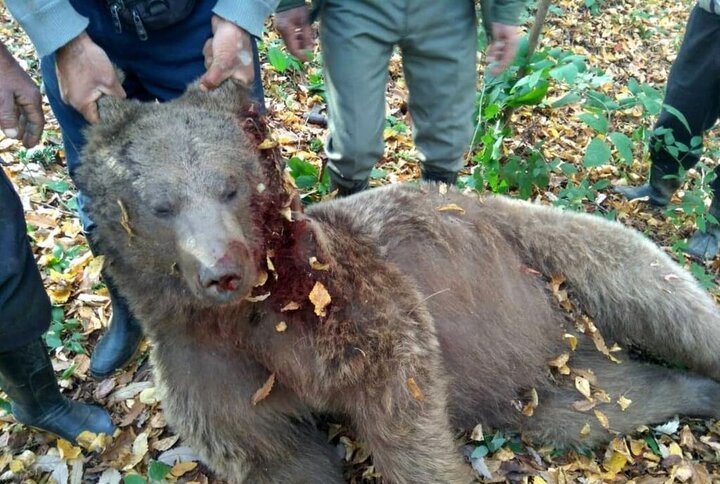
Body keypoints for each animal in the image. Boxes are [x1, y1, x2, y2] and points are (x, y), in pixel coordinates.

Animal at [73, 81, 720, 482]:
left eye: (230, 185)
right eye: (161, 206)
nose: (221, 271)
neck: (250, 312)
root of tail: (568, 334)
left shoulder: (338, 300)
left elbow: (399, 385)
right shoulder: (206, 362)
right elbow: (271, 450)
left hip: (558, 248)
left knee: (664, 299)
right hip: (541, 379)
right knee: (606, 402)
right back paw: (695, 392)